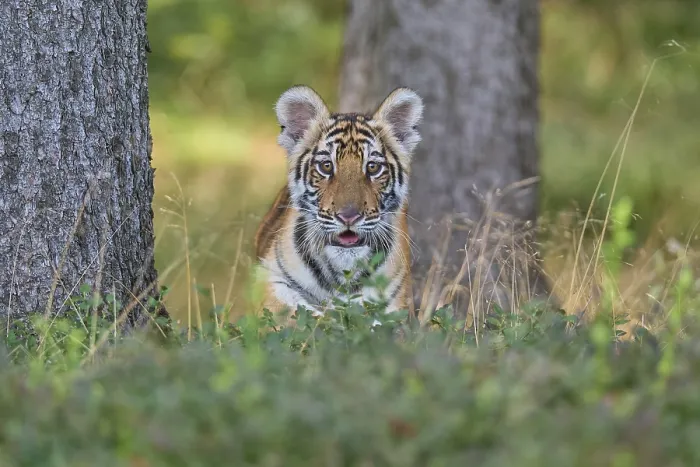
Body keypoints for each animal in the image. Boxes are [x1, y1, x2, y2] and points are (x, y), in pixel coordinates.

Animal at [253, 85, 424, 320]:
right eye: (326, 166)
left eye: (372, 167)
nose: (348, 216)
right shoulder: (274, 281)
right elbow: (296, 315)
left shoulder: (395, 303)